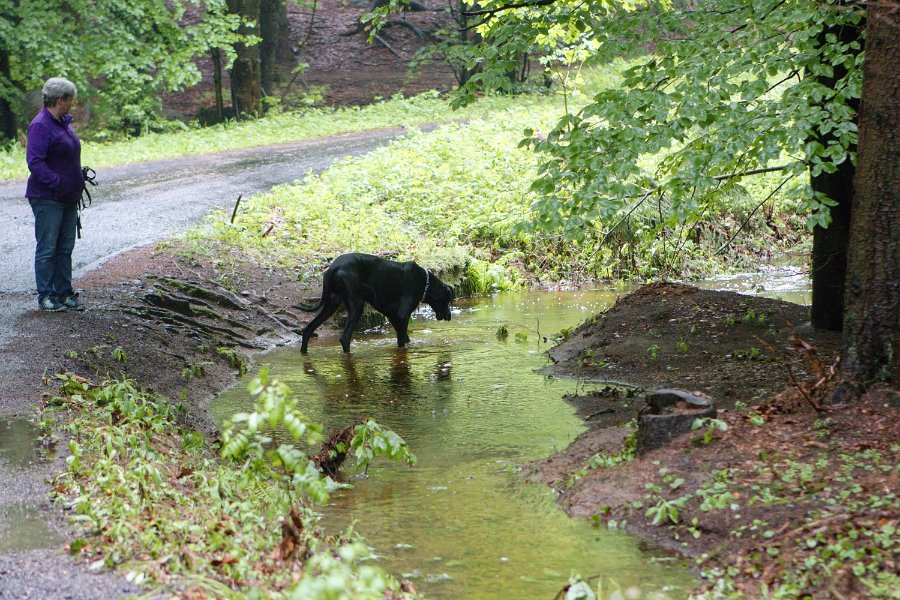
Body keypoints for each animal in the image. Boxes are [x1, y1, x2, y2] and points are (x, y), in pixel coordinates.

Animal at [298, 252, 454, 354]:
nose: (449, 316)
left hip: (332, 303)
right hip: (356, 305)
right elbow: (402, 342)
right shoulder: (403, 316)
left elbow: (406, 338)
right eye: (447, 300)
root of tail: (333, 267)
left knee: (308, 329)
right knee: (345, 337)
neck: (425, 282)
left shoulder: (393, 316)